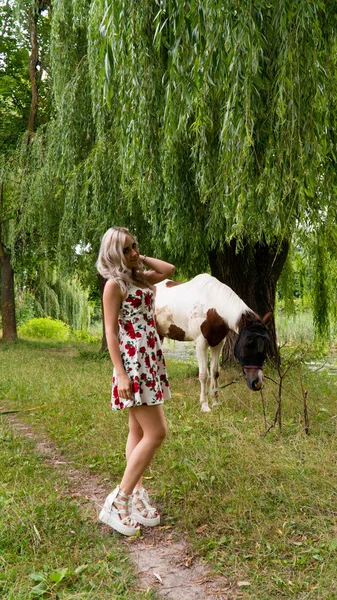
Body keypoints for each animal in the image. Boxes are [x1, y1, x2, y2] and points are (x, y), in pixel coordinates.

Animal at [154, 276, 270, 412]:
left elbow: (215, 372)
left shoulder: (218, 343)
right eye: (248, 344)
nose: (257, 383)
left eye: (266, 345)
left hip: (160, 336)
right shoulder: (201, 344)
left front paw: (215, 403)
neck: (212, 307)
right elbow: (204, 374)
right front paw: (204, 406)